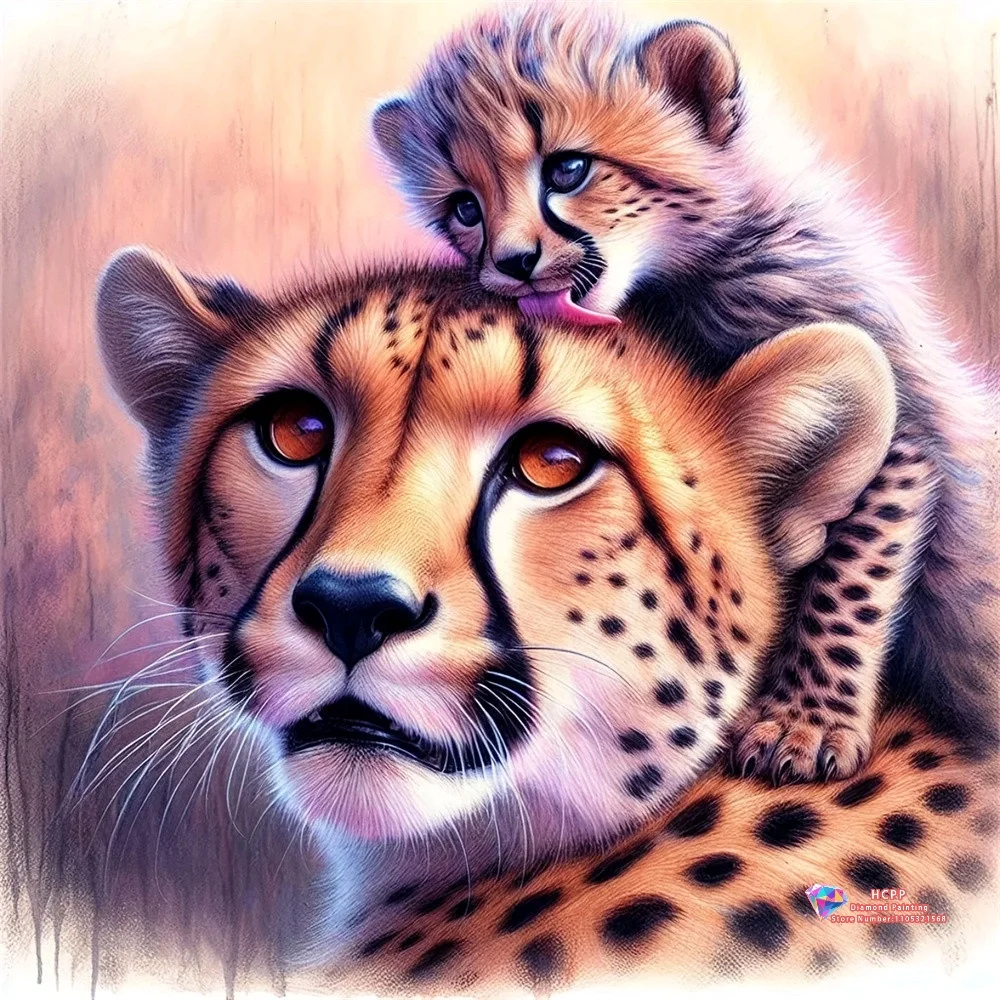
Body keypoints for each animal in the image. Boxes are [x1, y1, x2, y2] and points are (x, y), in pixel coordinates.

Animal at [369, 4, 999, 784]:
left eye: (568, 169)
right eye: (464, 207)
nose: (512, 264)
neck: (677, 281)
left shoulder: (901, 436)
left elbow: (848, 579)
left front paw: (806, 721)